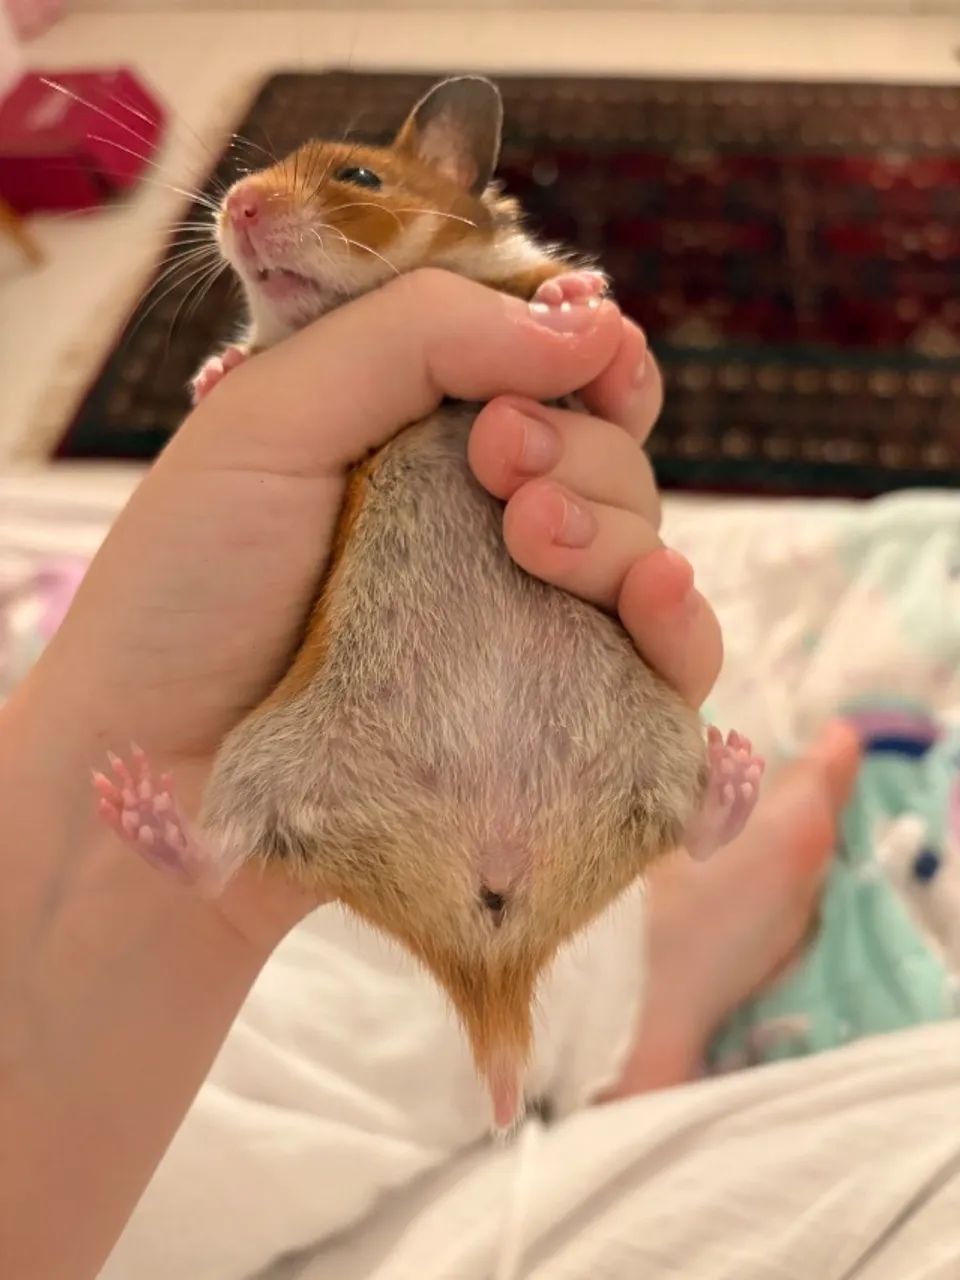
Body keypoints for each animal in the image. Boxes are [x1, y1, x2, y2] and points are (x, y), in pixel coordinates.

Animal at [96, 77, 763, 1131]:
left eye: (360, 177)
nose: (236, 206)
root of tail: (488, 952)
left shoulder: (576, 391)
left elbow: (561, 327)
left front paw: (575, 301)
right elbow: (255, 357)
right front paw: (215, 374)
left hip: (657, 733)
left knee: (692, 833)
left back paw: (739, 776)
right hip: (268, 758)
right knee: (218, 859)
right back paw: (138, 809)